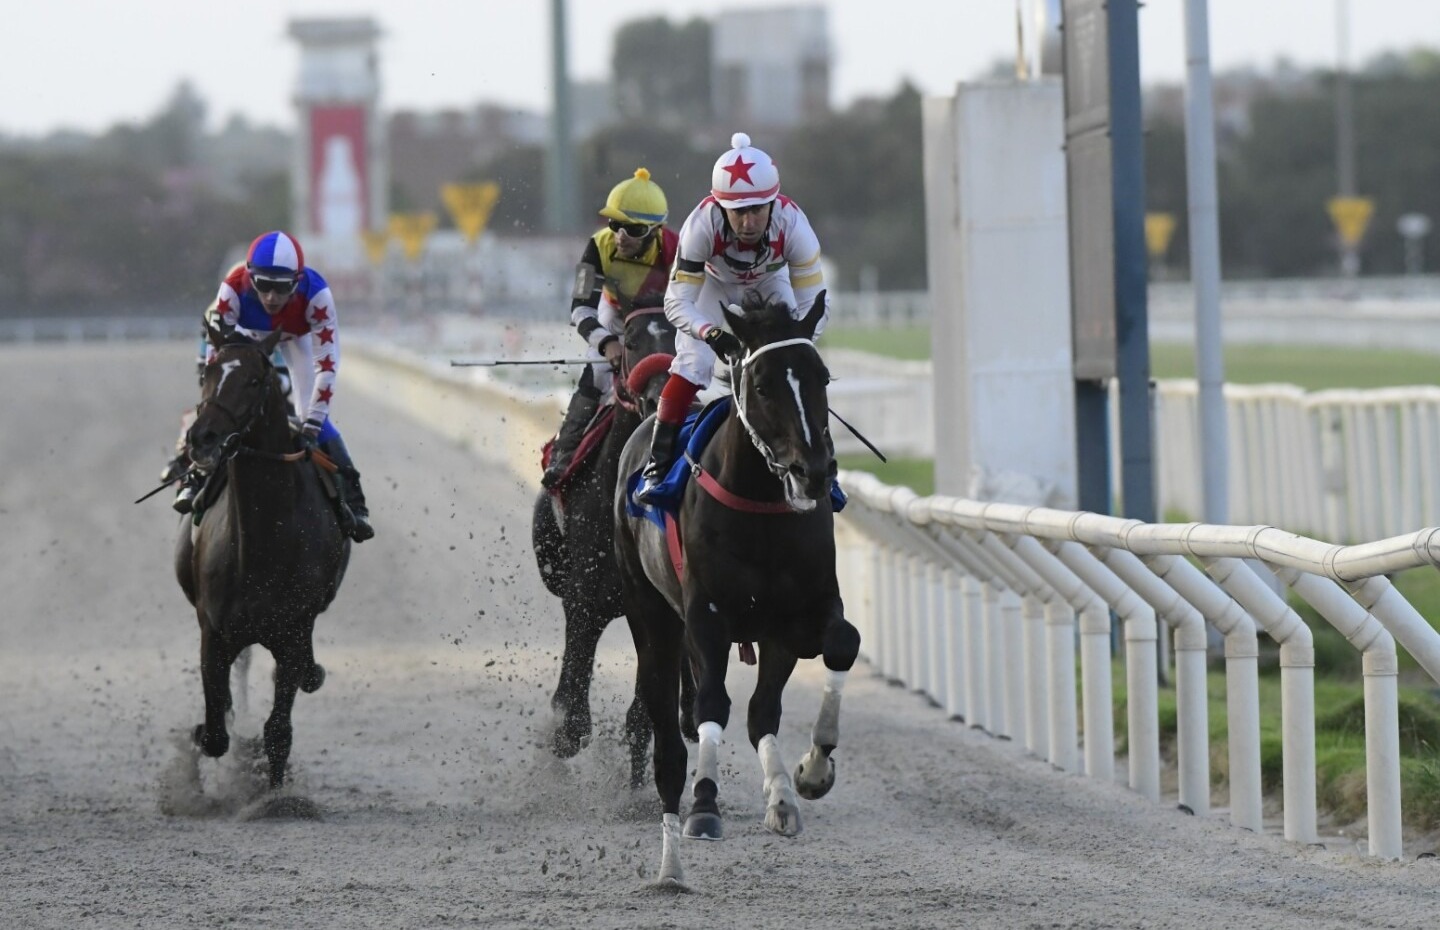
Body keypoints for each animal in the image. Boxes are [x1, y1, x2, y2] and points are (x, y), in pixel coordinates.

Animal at [173, 323, 351, 788]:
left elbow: (277, 731)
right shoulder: (213, 631)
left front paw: (273, 793)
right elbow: (215, 733)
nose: (203, 438)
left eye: (254, 380)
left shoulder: (291, 631)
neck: (261, 546)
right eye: (208, 373)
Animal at [532, 306, 682, 788]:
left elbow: (645, 715)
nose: (658, 398)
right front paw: (564, 735)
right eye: (631, 342)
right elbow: (573, 700)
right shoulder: (583, 597)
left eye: (678, 337)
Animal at [613, 290, 858, 886]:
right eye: (763, 384)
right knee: (665, 707)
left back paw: (781, 794)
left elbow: (835, 650)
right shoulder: (708, 615)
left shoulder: (795, 618)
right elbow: (711, 704)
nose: (814, 471)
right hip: (650, 612)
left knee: (754, 710)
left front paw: (808, 774)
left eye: (822, 376)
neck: (763, 507)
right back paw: (673, 835)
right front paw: (704, 804)